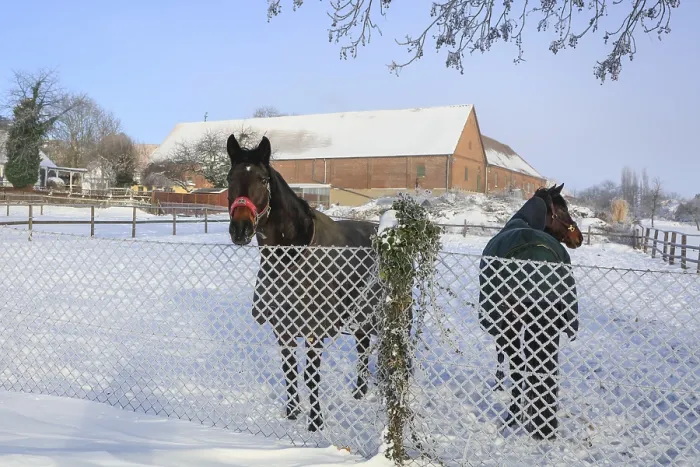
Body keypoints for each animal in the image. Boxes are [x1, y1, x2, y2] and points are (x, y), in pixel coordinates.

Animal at [226, 133, 382, 432]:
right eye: (229, 178)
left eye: (263, 179)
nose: (240, 229)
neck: (291, 256)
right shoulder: (283, 328)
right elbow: (289, 370)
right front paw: (291, 412)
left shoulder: (314, 331)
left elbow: (310, 375)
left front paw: (316, 422)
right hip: (361, 316)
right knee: (362, 345)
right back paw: (359, 392)